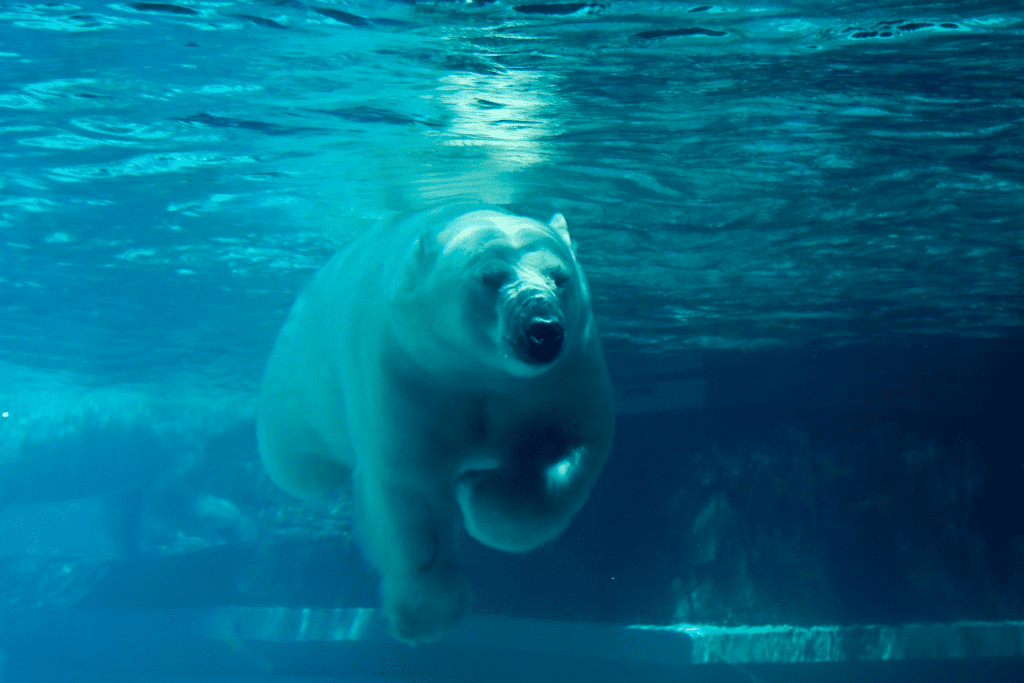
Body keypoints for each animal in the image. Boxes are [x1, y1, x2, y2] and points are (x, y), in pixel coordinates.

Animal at [256, 205, 614, 643]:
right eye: (490, 277)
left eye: (560, 277)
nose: (543, 331)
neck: (478, 370)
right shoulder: (405, 370)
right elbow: (410, 492)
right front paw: (423, 616)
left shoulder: (564, 375)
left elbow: (570, 447)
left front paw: (478, 492)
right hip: (299, 376)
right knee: (300, 467)